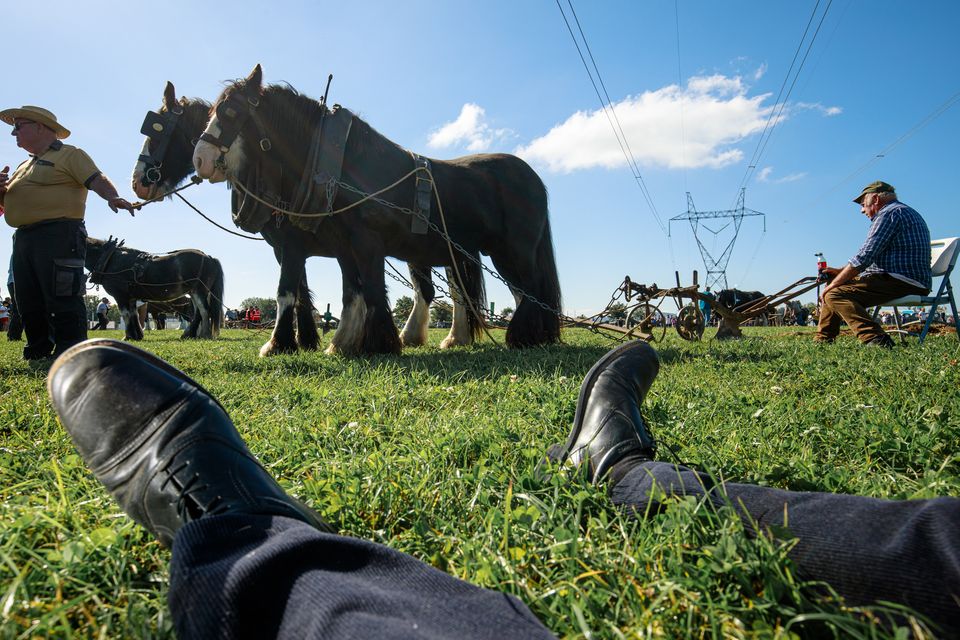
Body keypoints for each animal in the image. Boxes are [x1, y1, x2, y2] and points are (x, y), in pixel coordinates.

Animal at [84, 238, 223, 340]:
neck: (110, 259)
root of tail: (209, 257)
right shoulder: (131, 297)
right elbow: (134, 314)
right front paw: (137, 335)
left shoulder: (120, 296)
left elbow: (126, 314)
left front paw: (128, 336)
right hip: (194, 292)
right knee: (198, 312)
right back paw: (189, 334)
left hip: (199, 290)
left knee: (204, 310)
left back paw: (205, 334)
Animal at [193, 66, 564, 356]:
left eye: (230, 112)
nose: (200, 159)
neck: (340, 166)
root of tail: (534, 178)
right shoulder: (342, 245)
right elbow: (349, 292)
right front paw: (342, 342)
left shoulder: (356, 241)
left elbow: (360, 288)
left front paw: (376, 342)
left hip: (512, 250)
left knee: (530, 288)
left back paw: (524, 336)